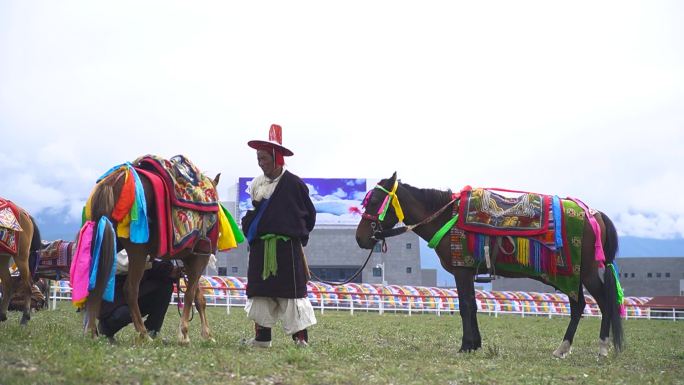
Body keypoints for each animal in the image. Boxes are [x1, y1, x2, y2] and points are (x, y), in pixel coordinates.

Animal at [83, 164, 219, 344]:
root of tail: (114, 181)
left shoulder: (188, 261)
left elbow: (199, 297)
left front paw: (207, 335)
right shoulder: (199, 258)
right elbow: (190, 295)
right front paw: (185, 335)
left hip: (102, 243)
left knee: (96, 283)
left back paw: (93, 332)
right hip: (137, 251)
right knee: (130, 290)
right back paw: (144, 334)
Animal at [358, 172, 624, 356]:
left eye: (375, 201)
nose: (361, 238)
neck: (447, 218)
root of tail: (593, 213)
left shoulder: (462, 270)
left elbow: (466, 306)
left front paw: (466, 345)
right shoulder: (467, 272)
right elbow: (473, 305)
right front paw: (475, 344)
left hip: (585, 273)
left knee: (604, 303)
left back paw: (602, 348)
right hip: (571, 275)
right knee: (579, 306)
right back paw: (563, 348)